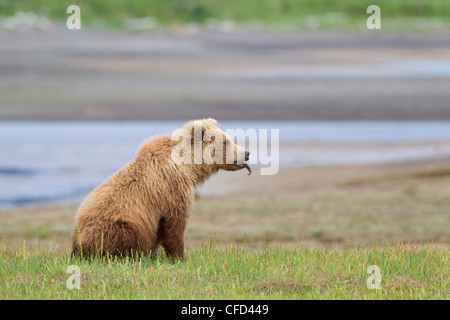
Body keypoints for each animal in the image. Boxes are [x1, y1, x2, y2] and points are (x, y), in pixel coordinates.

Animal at [72, 119, 251, 258]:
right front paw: (179, 256)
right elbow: (174, 224)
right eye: (227, 141)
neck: (188, 165)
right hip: (116, 226)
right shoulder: (171, 188)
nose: (247, 153)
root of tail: (76, 246)